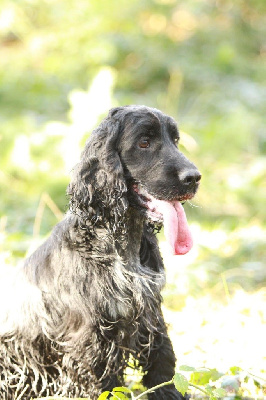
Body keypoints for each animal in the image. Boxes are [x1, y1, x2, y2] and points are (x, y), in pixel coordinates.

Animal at [0, 104, 200, 398]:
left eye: (175, 140)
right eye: (144, 142)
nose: (194, 178)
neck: (120, 244)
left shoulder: (151, 316)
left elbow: (163, 363)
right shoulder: (89, 340)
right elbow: (101, 383)